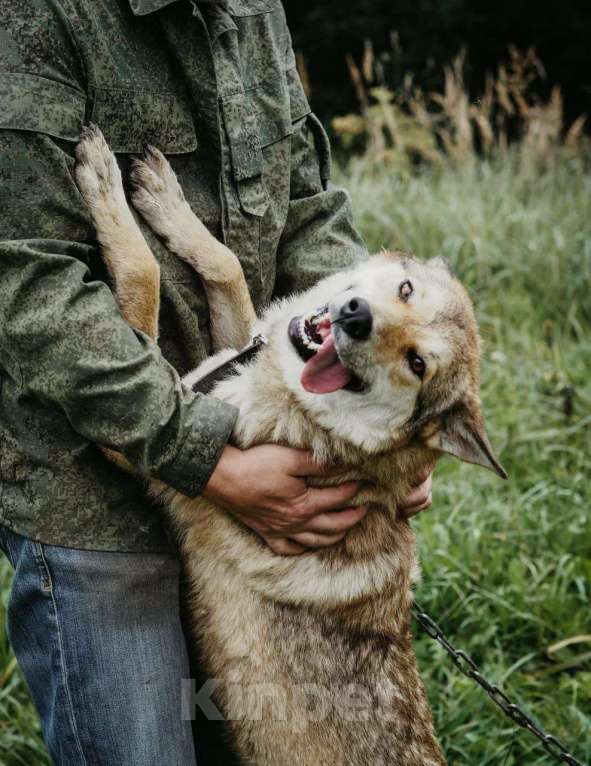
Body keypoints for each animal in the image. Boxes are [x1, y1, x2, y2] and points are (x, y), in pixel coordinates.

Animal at [74, 126, 508, 766]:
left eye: (417, 363)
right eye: (405, 289)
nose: (355, 316)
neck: (303, 417)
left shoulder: (150, 435)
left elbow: (143, 277)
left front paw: (103, 183)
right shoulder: (226, 352)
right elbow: (226, 265)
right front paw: (163, 197)